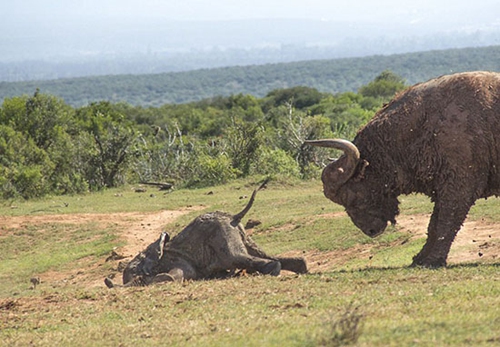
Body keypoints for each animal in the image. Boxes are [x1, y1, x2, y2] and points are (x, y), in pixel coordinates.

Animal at [106, 181, 308, 290]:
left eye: (135, 269)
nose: (108, 281)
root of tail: (234, 217)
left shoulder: (175, 259)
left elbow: (179, 273)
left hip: (223, 235)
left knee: (238, 257)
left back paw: (272, 271)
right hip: (239, 235)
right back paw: (301, 268)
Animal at [304, 70, 500, 266]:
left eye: (351, 196)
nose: (371, 231)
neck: (425, 122)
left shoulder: (457, 188)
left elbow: (447, 222)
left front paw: (433, 260)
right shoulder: (442, 189)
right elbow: (433, 225)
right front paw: (419, 258)